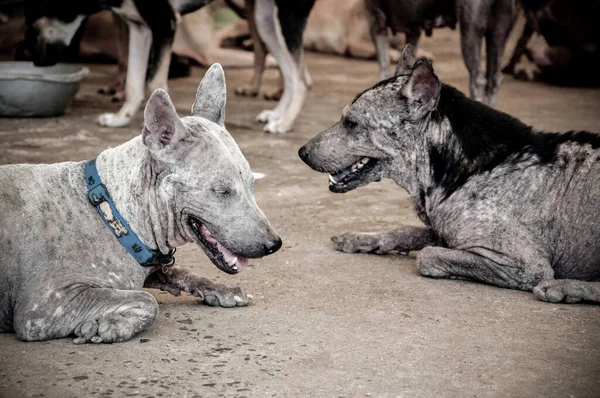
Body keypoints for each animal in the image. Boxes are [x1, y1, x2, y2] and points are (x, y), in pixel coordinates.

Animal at [0, 65, 282, 342]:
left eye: (252, 184)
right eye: (222, 191)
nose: (274, 245)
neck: (114, 216)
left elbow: (180, 272)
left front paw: (220, 289)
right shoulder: (43, 307)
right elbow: (147, 300)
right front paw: (108, 326)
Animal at [298, 45, 600, 304]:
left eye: (351, 123)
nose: (301, 152)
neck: (464, 171)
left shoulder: (526, 265)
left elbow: (428, 256)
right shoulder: (440, 229)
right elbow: (407, 230)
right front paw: (365, 239)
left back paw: (565, 288)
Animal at [366, 0, 516, 106]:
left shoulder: (377, 22)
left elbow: (384, 67)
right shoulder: (413, 30)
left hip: (471, 30)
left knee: (478, 80)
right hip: (498, 35)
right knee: (494, 79)